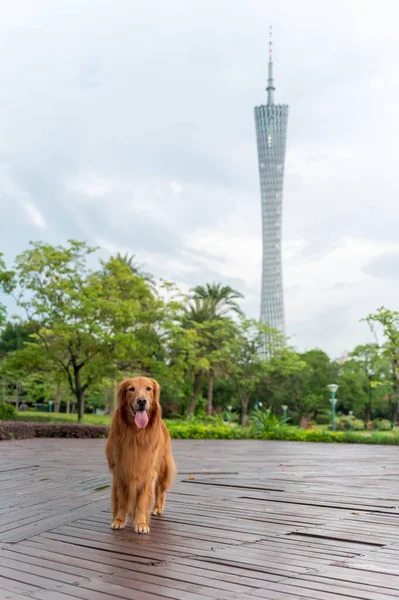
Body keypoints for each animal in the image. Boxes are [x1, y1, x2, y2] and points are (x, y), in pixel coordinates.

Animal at [105, 376, 176, 536]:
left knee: (160, 491)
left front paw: (141, 523)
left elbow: (142, 500)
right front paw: (119, 519)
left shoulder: (147, 472)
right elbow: (122, 499)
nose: (142, 401)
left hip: (162, 468)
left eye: (148, 388)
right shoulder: (121, 471)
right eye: (131, 389)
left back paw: (157, 508)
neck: (135, 434)